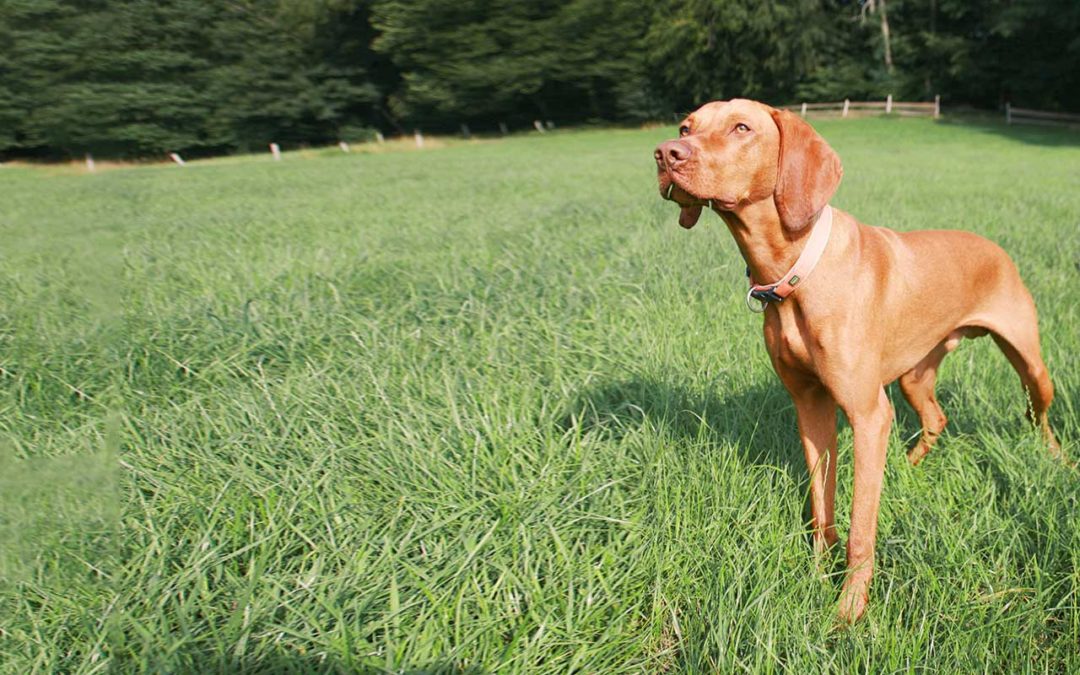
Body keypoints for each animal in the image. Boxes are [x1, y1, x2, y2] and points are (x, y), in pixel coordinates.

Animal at [652, 98, 1058, 622]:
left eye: (742, 127)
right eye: (686, 127)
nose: (665, 153)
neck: (795, 269)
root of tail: (994, 245)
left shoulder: (868, 414)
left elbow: (861, 527)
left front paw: (848, 611)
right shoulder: (811, 406)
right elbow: (821, 507)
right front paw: (815, 576)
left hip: (1030, 364)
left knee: (1039, 416)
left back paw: (1058, 462)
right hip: (913, 375)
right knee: (936, 417)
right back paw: (908, 465)